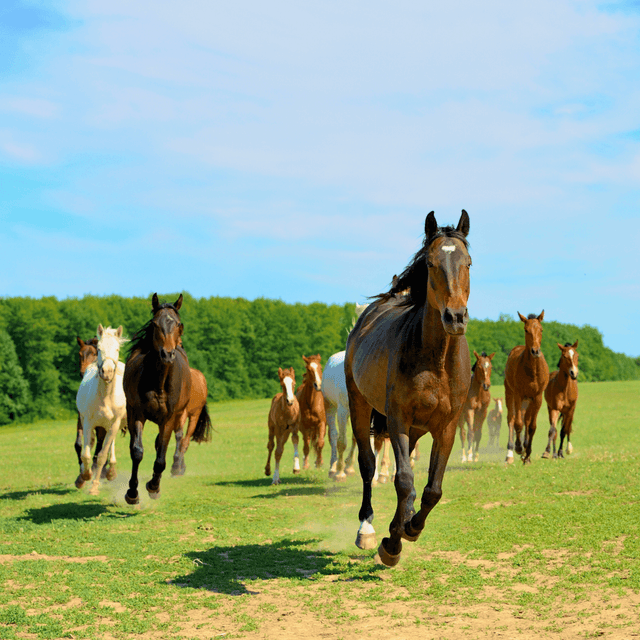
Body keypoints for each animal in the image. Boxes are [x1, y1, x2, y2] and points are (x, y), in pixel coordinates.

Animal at [75, 326, 128, 495]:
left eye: (117, 348)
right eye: (99, 349)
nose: (107, 371)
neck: (105, 396)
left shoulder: (113, 425)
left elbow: (102, 455)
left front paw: (94, 486)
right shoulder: (87, 423)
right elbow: (85, 453)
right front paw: (85, 476)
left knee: (109, 446)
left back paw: (111, 472)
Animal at [123, 293, 211, 504]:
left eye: (178, 324)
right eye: (155, 324)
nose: (167, 354)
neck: (159, 381)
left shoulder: (170, 418)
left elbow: (161, 456)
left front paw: (154, 487)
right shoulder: (137, 413)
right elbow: (137, 451)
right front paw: (132, 492)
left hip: (189, 416)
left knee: (179, 441)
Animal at [345, 210, 471, 567]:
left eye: (468, 262)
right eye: (430, 263)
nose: (455, 317)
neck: (436, 361)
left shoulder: (447, 427)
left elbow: (431, 489)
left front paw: (408, 528)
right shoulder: (398, 419)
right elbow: (403, 481)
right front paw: (391, 544)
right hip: (359, 406)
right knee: (368, 466)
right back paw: (367, 529)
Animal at [504, 311, 550, 465]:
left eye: (541, 329)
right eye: (526, 330)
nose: (535, 351)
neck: (533, 372)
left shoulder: (537, 397)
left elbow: (531, 426)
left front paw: (527, 453)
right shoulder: (518, 395)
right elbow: (518, 423)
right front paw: (519, 448)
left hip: (528, 401)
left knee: (526, 419)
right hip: (510, 394)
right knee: (511, 419)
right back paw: (511, 453)